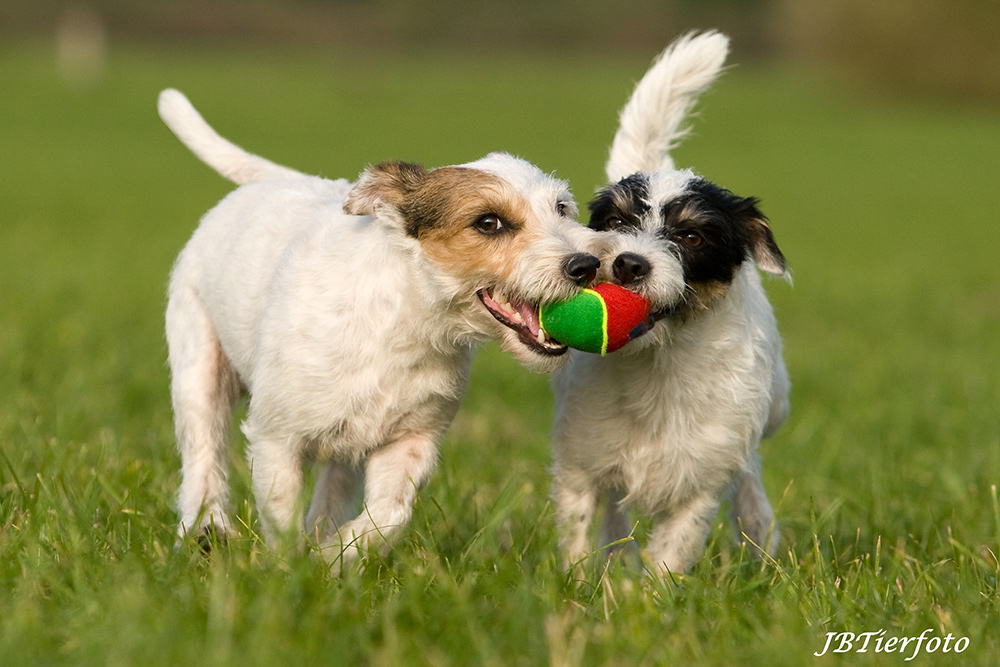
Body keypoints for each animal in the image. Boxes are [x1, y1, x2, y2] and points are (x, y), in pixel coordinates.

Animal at [157, 87, 596, 560]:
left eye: (561, 208)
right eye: (488, 222)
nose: (586, 265)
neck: (403, 322)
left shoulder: (411, 441)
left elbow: (389, 515)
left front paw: (333, 556)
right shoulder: (277, 438)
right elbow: (280, 515)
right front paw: (288, 567)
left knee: (333, 490)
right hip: (198, 369)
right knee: (203, 451)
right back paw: (204, 526)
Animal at [548, 30, 788, 576]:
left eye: (693, 236)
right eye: (615, 222)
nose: (628, 264)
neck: (659, 365)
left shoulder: (700, 482)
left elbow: (673, 552)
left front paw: (652, 595)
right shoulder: (581, 464)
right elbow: (582, 534)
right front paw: (579, 586)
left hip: (775, 408)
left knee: (750, 476)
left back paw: (761, 534)